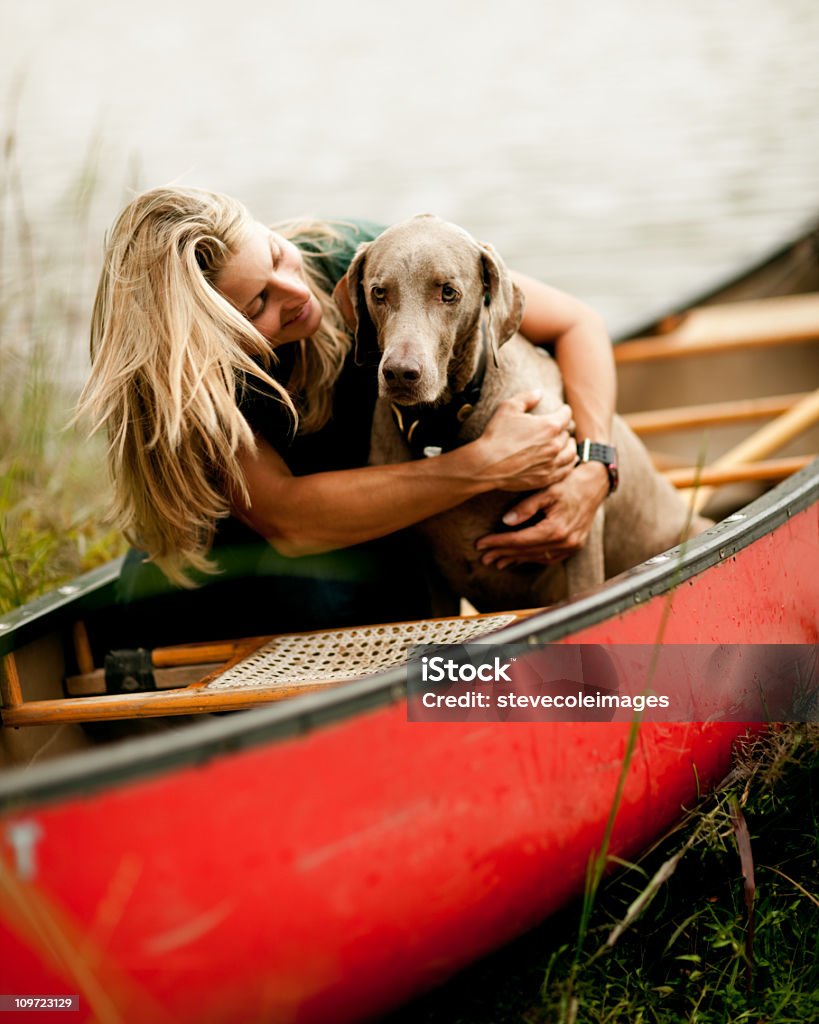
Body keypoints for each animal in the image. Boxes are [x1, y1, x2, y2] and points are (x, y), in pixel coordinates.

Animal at [335, 215, 708, 606]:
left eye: (448, 292)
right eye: (378, 292)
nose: (400, 374)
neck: (440, 427)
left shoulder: (578, 521)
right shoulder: (428, 566)